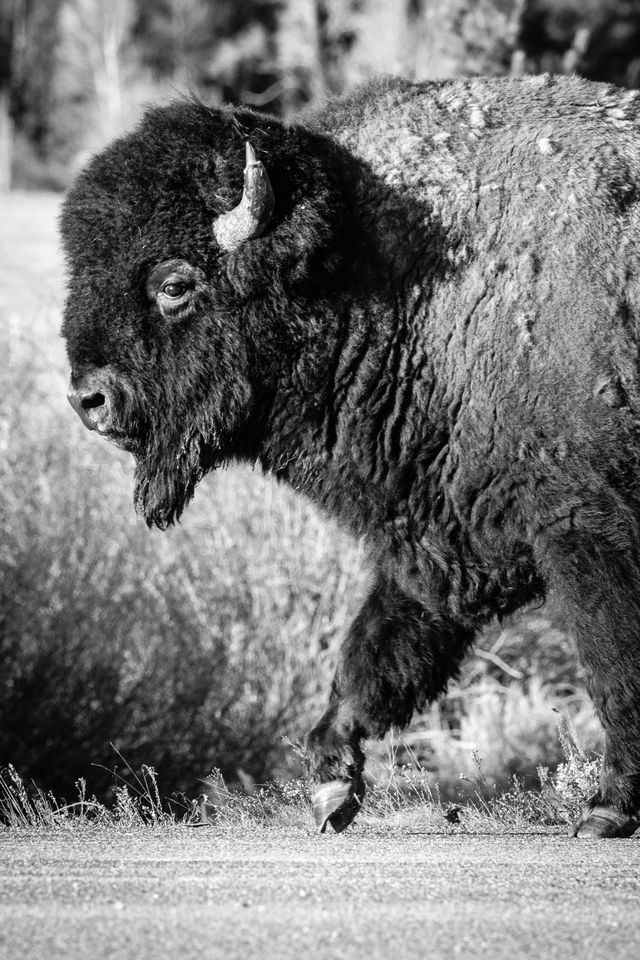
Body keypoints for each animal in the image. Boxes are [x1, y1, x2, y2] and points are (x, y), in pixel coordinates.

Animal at [61, 75, 640, 836]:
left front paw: (607, 809)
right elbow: (376, 656)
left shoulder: (587, 532)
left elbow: (614, 665)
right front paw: (331, 782)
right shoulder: (445, 531)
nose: (89, 399)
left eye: (175, 284)